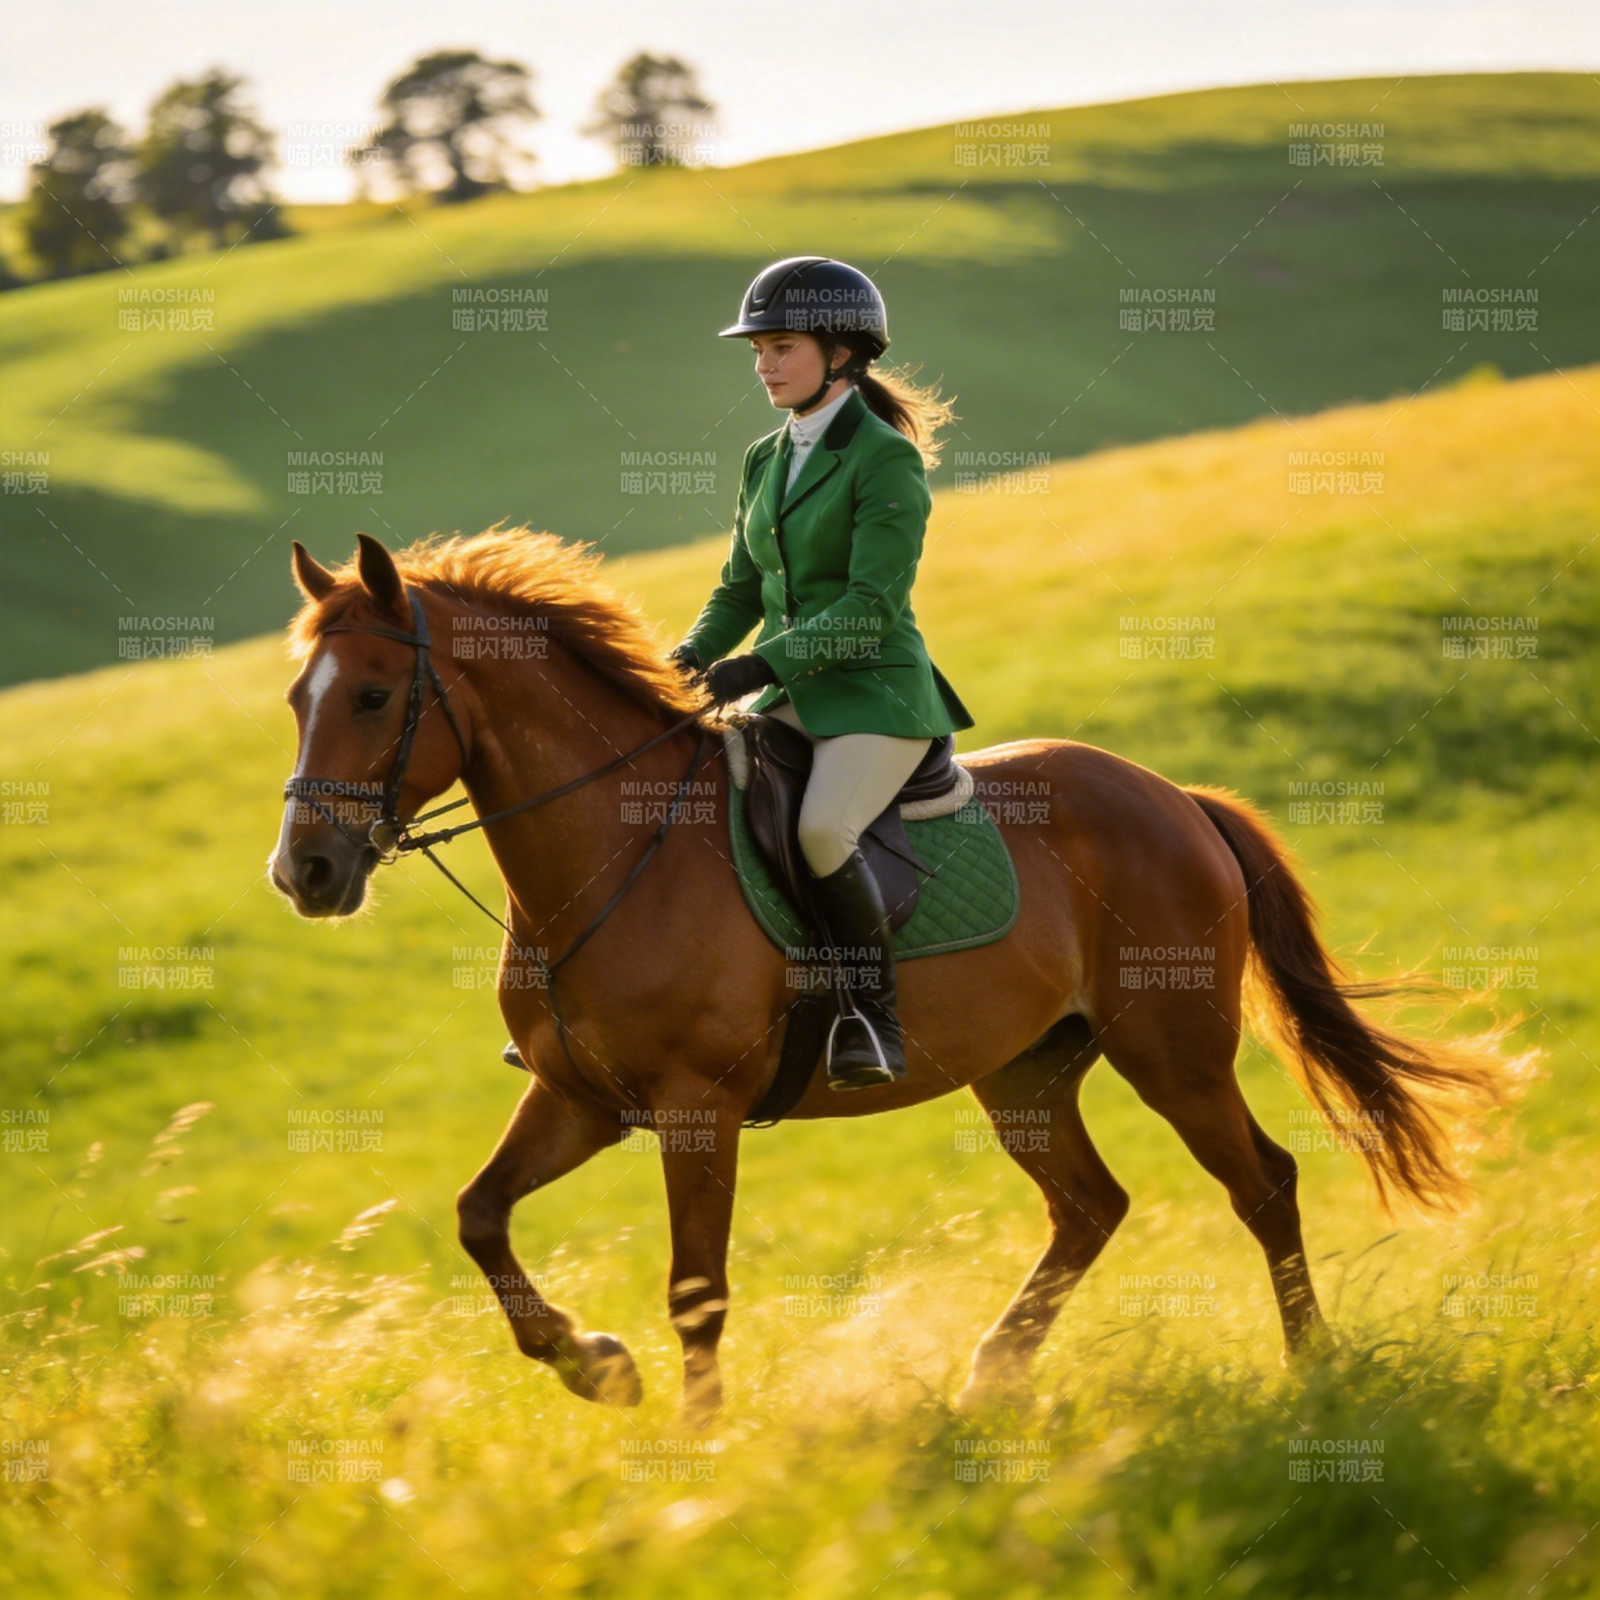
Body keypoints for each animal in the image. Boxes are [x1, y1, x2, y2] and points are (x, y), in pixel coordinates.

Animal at [269, 528, 1514, 1422]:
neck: (614, 850)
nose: (304, 872)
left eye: (373, 695)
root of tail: (1174, 796)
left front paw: (695, 1452)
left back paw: (1314, 1371)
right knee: (1089, 1206)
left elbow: (696, 1290)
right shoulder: (579, 1098)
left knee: (1260, 1184)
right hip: (1024, 1072)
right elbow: (480, 1215)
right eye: (296, 699)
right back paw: (991, 1376)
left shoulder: (695, 1110)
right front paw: (595, 1364)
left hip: (1175, 1056)